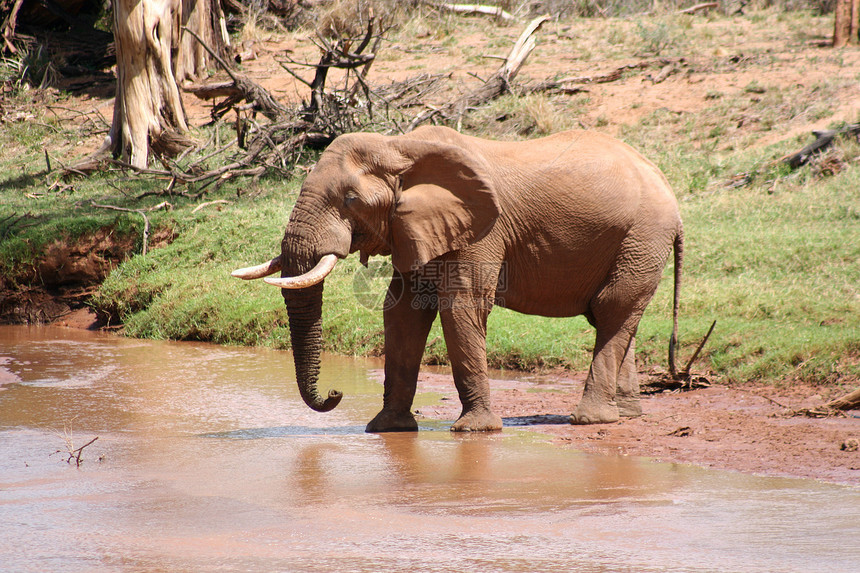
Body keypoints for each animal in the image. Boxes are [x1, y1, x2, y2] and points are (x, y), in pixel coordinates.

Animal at [232, 124, 680, 428]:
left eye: (350, 199)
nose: (335, 392)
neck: (401, 146)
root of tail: (664, 180)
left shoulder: (482, 230)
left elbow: (460, 307)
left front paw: (474, 431)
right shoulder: (413, 227)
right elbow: (402, 312)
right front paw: (386, 429)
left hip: (643, 235)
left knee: (612, 308)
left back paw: (592, 419)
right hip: (636, 242)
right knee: (615, 314)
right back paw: (626, 414)